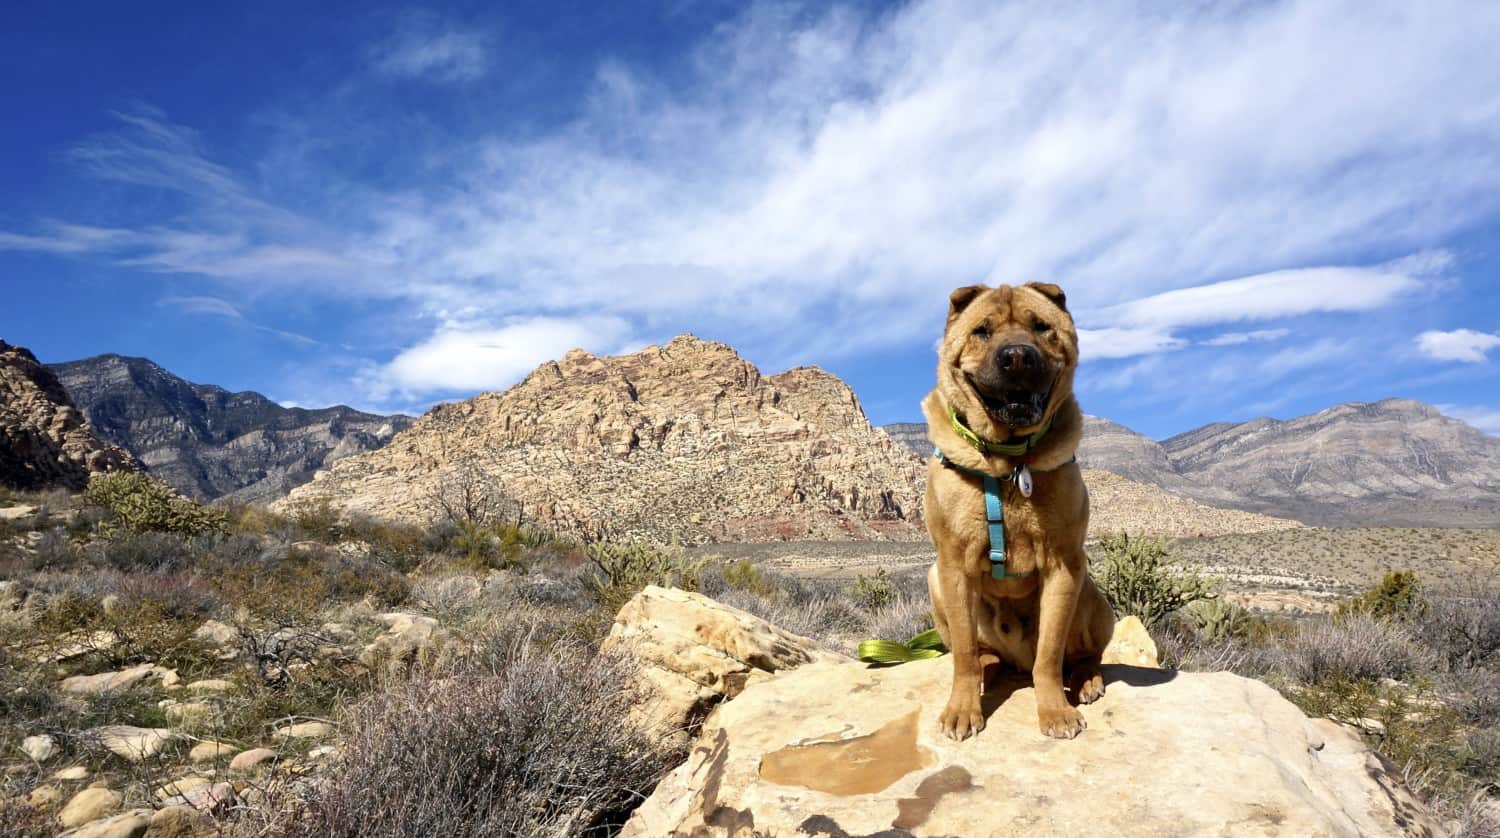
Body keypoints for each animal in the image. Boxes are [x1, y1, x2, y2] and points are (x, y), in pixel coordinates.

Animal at [918, 281, 1122, 740]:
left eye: (1041, 326)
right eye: (982, 330)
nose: (1016, 357)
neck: (1008, 461)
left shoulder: (1063, 565)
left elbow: (1049, 655)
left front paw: (1055, 711)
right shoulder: (953, 567)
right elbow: (962, 653)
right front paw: (962, 709)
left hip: (1090, 595)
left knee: (1082, 655)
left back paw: (1086, 680)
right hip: (935, 581)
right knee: (982, 654)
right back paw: (989, 670)